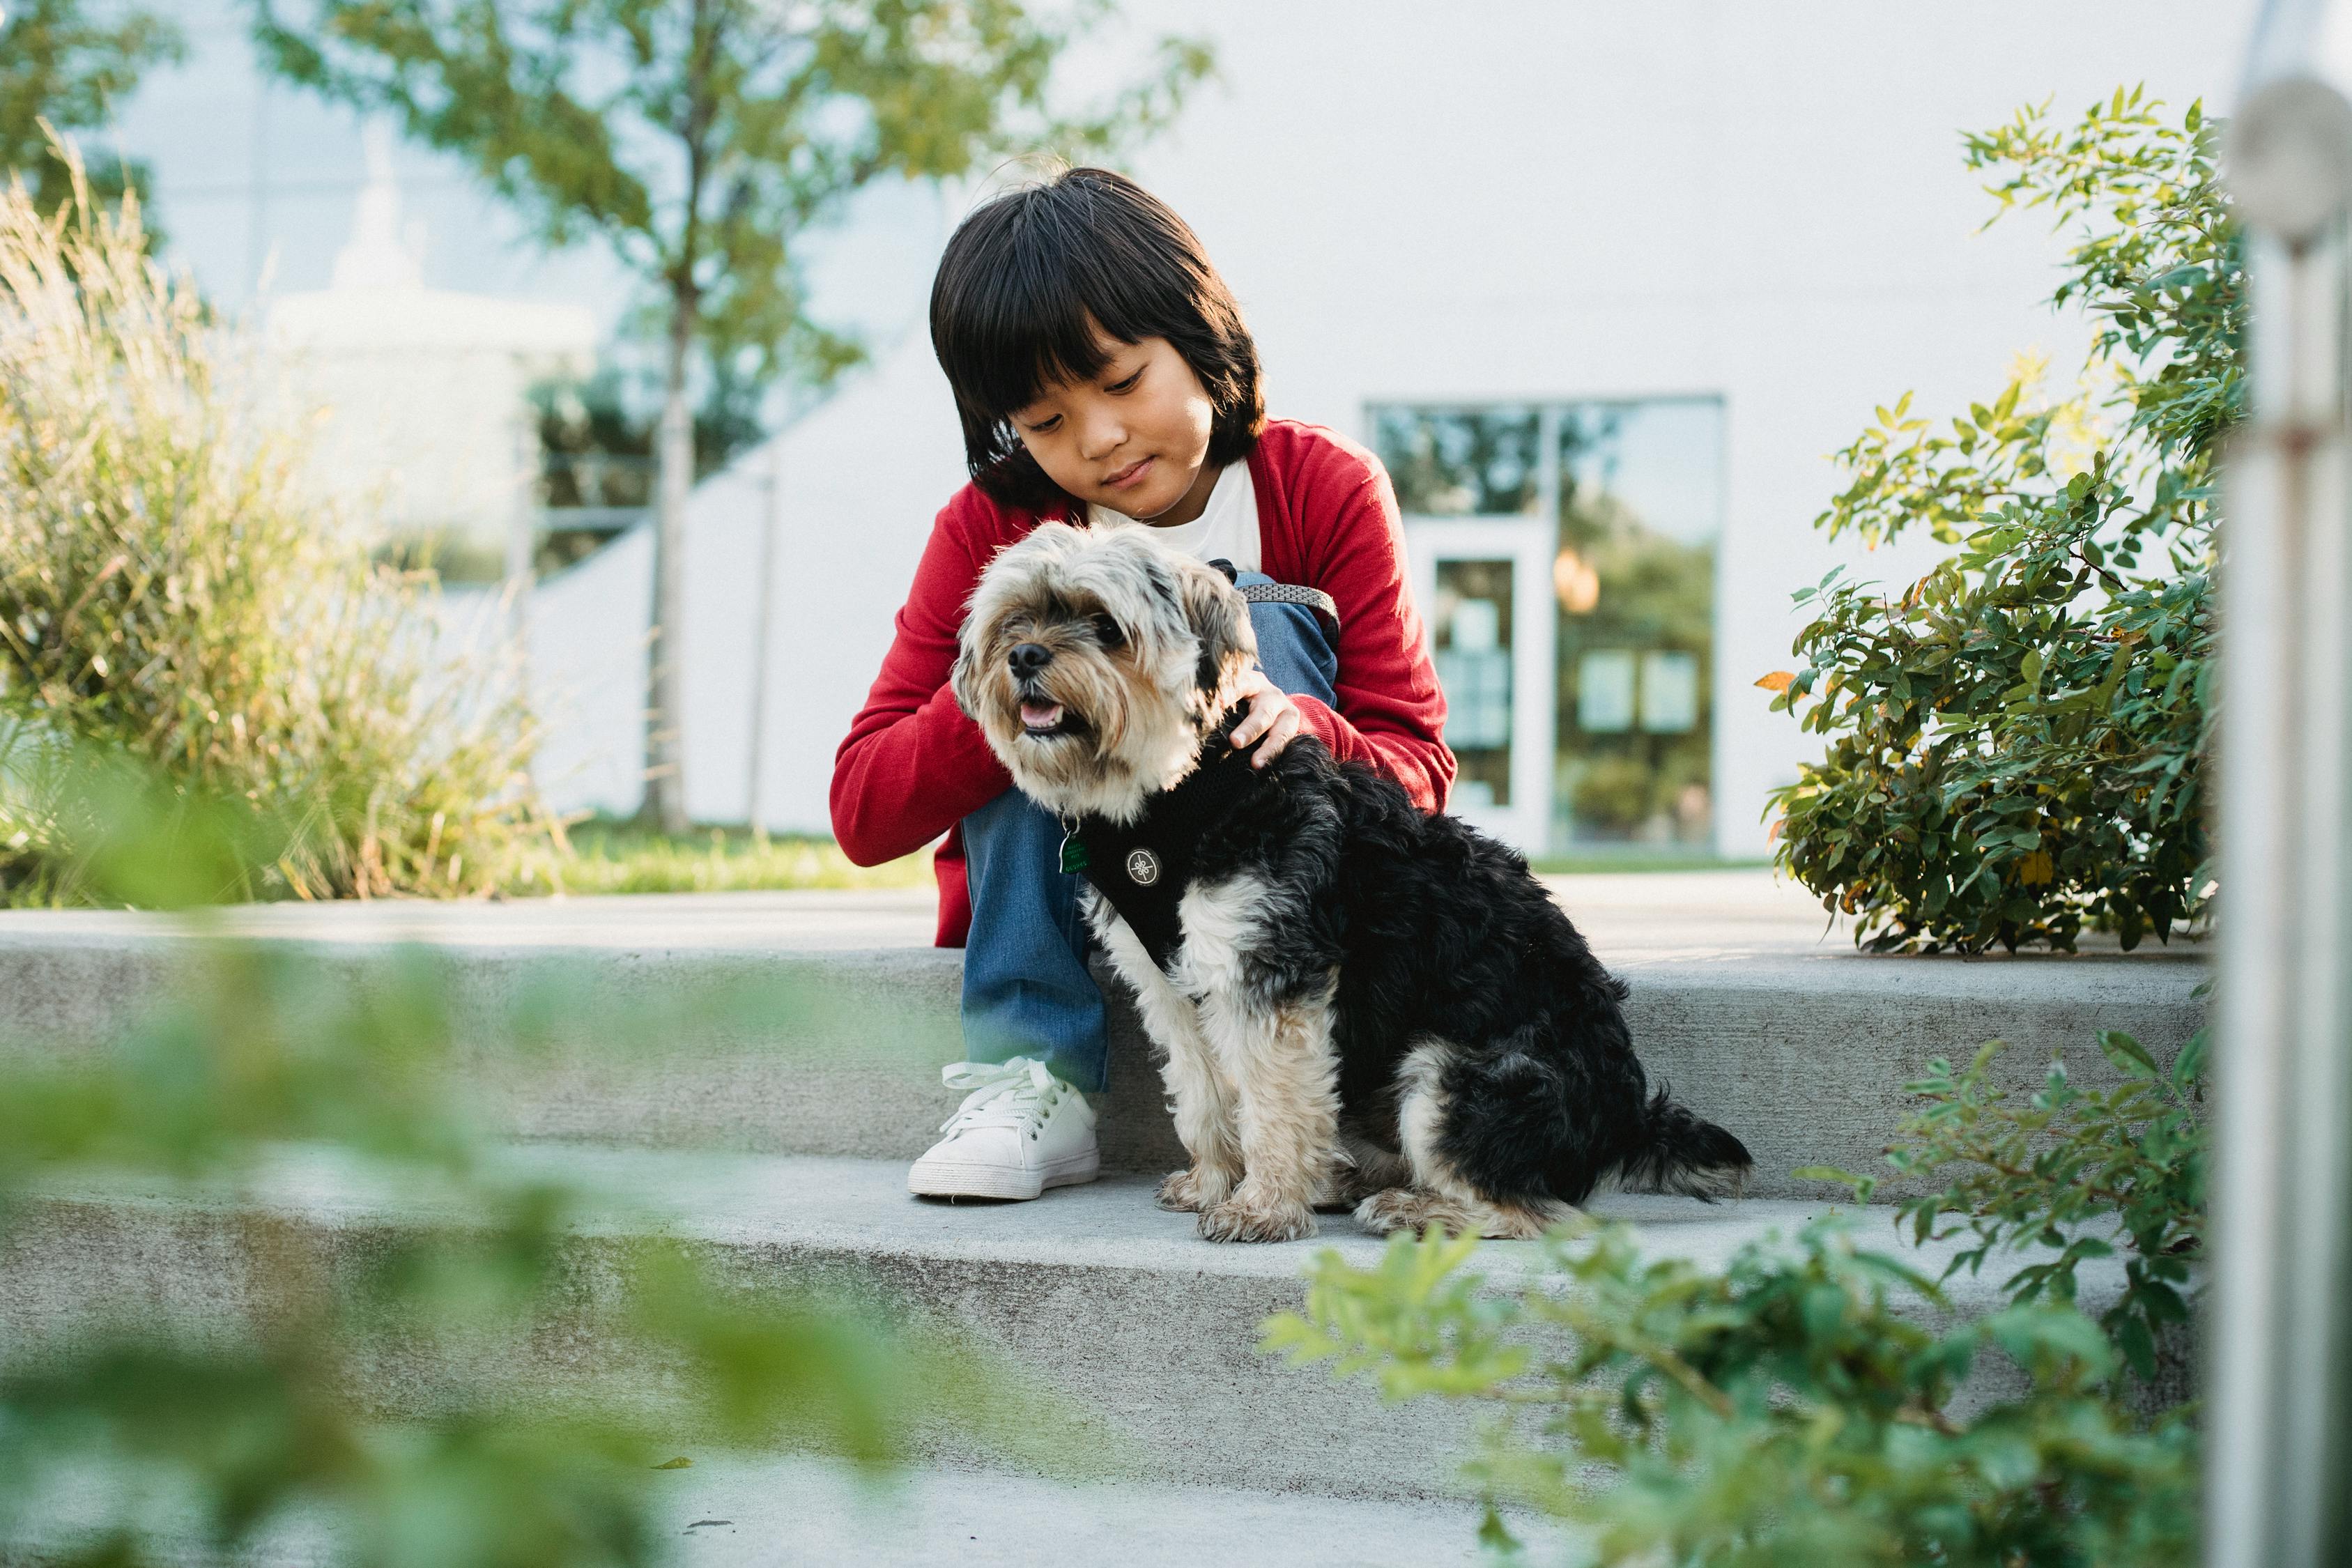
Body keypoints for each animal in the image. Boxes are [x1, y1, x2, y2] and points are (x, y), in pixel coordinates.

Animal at [950, 526, 1750, 1250]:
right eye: (1014, 620)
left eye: (1105, 627)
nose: (1024, 656)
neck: (1179, 797)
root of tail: (1628, 1117)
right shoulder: (1172, 988)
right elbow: (1204, 1098)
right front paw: (1214, 1182)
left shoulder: (1271, 978)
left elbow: (1271, 1103)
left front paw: (1263, 1206)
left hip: (1452, 1075)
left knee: (1536, 1212)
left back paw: (1414, 1210)